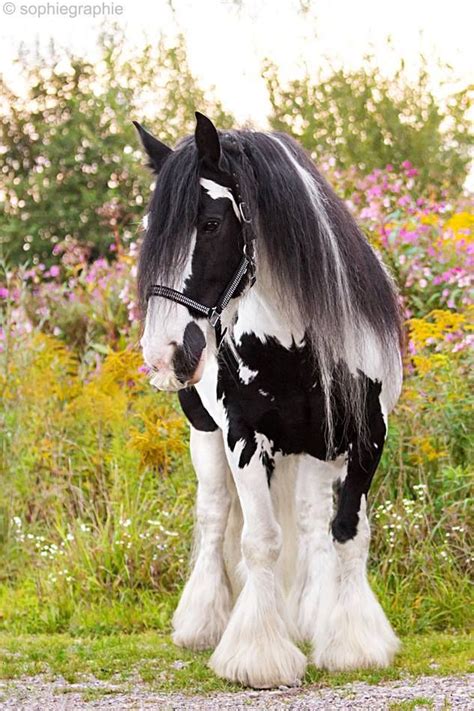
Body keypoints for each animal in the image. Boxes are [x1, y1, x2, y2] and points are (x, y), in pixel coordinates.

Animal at [133, 115, 404, 688]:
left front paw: (352, 644)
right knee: (215, 517)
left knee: (309, 521)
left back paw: (308, 616)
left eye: (211, 223)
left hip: (313, 450)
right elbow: (259, 540)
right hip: (205, 436)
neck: (296, 344)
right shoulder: (243, 440)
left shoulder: (366, 438)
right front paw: (258, 655)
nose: (164, 354)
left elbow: (347, 533)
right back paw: (203, 625)